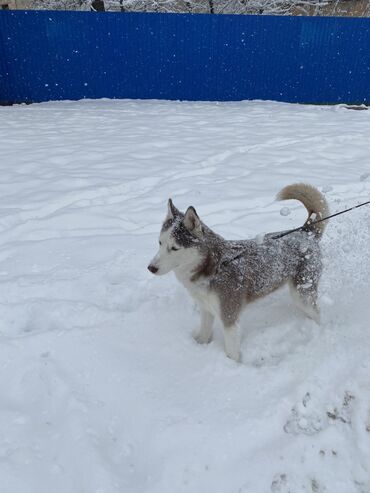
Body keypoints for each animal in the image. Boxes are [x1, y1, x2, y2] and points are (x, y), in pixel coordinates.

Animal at [147, 184, 326, 362]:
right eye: (160, 243)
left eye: (174, 248)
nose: (150, 268)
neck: (215, 267)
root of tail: (304, 232)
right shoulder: (206, 309)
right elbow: (204, 333)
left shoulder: (229, 317)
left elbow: (231, 352)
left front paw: (234, 365)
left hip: (301, 295)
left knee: (317, 314)